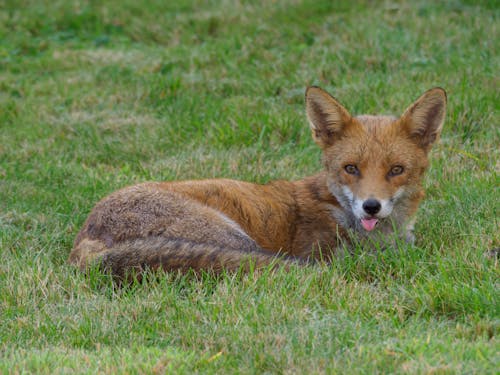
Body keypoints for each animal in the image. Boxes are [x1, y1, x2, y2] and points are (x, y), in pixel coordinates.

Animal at [68, 86, 448, 278]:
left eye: (396, 170)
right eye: (351, 168)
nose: (371, 206)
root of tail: (86, 238)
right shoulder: (320, 250)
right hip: (237, 240)